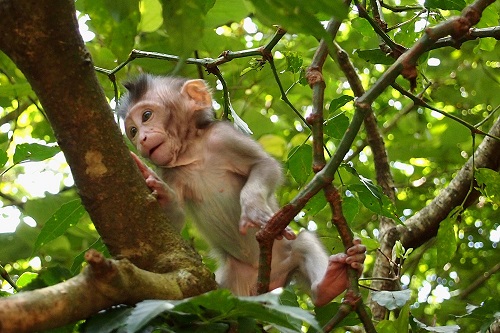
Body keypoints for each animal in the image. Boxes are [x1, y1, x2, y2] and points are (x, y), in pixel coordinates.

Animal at [118, 75, 368, 306]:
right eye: (132, 130)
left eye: (147, 115)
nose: (141, 140)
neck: (193, 152)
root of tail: (270, 280)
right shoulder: (169, 172)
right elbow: (174, 220)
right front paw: (159, 193)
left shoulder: (223, 137)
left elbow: (264, 165)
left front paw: (253, 209)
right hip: (233, 281)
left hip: (287, 256)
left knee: (304, 242)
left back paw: (330, 283)